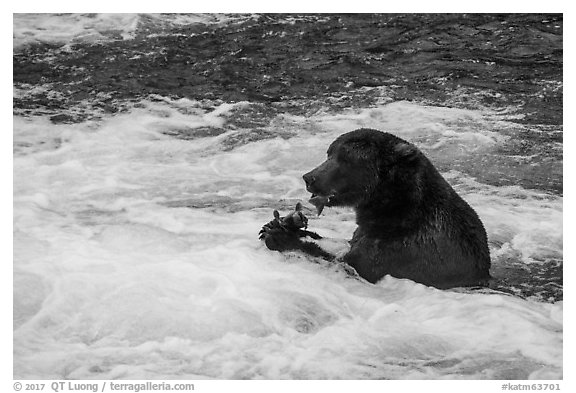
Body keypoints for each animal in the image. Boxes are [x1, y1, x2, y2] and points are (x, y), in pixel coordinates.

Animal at [260, 129, 490, 288]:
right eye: (329, 153)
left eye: (345, 158)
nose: (310, 177)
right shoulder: (366, 232)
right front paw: (277, 225)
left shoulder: (404, 248)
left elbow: (347, 263)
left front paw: (280, 236)